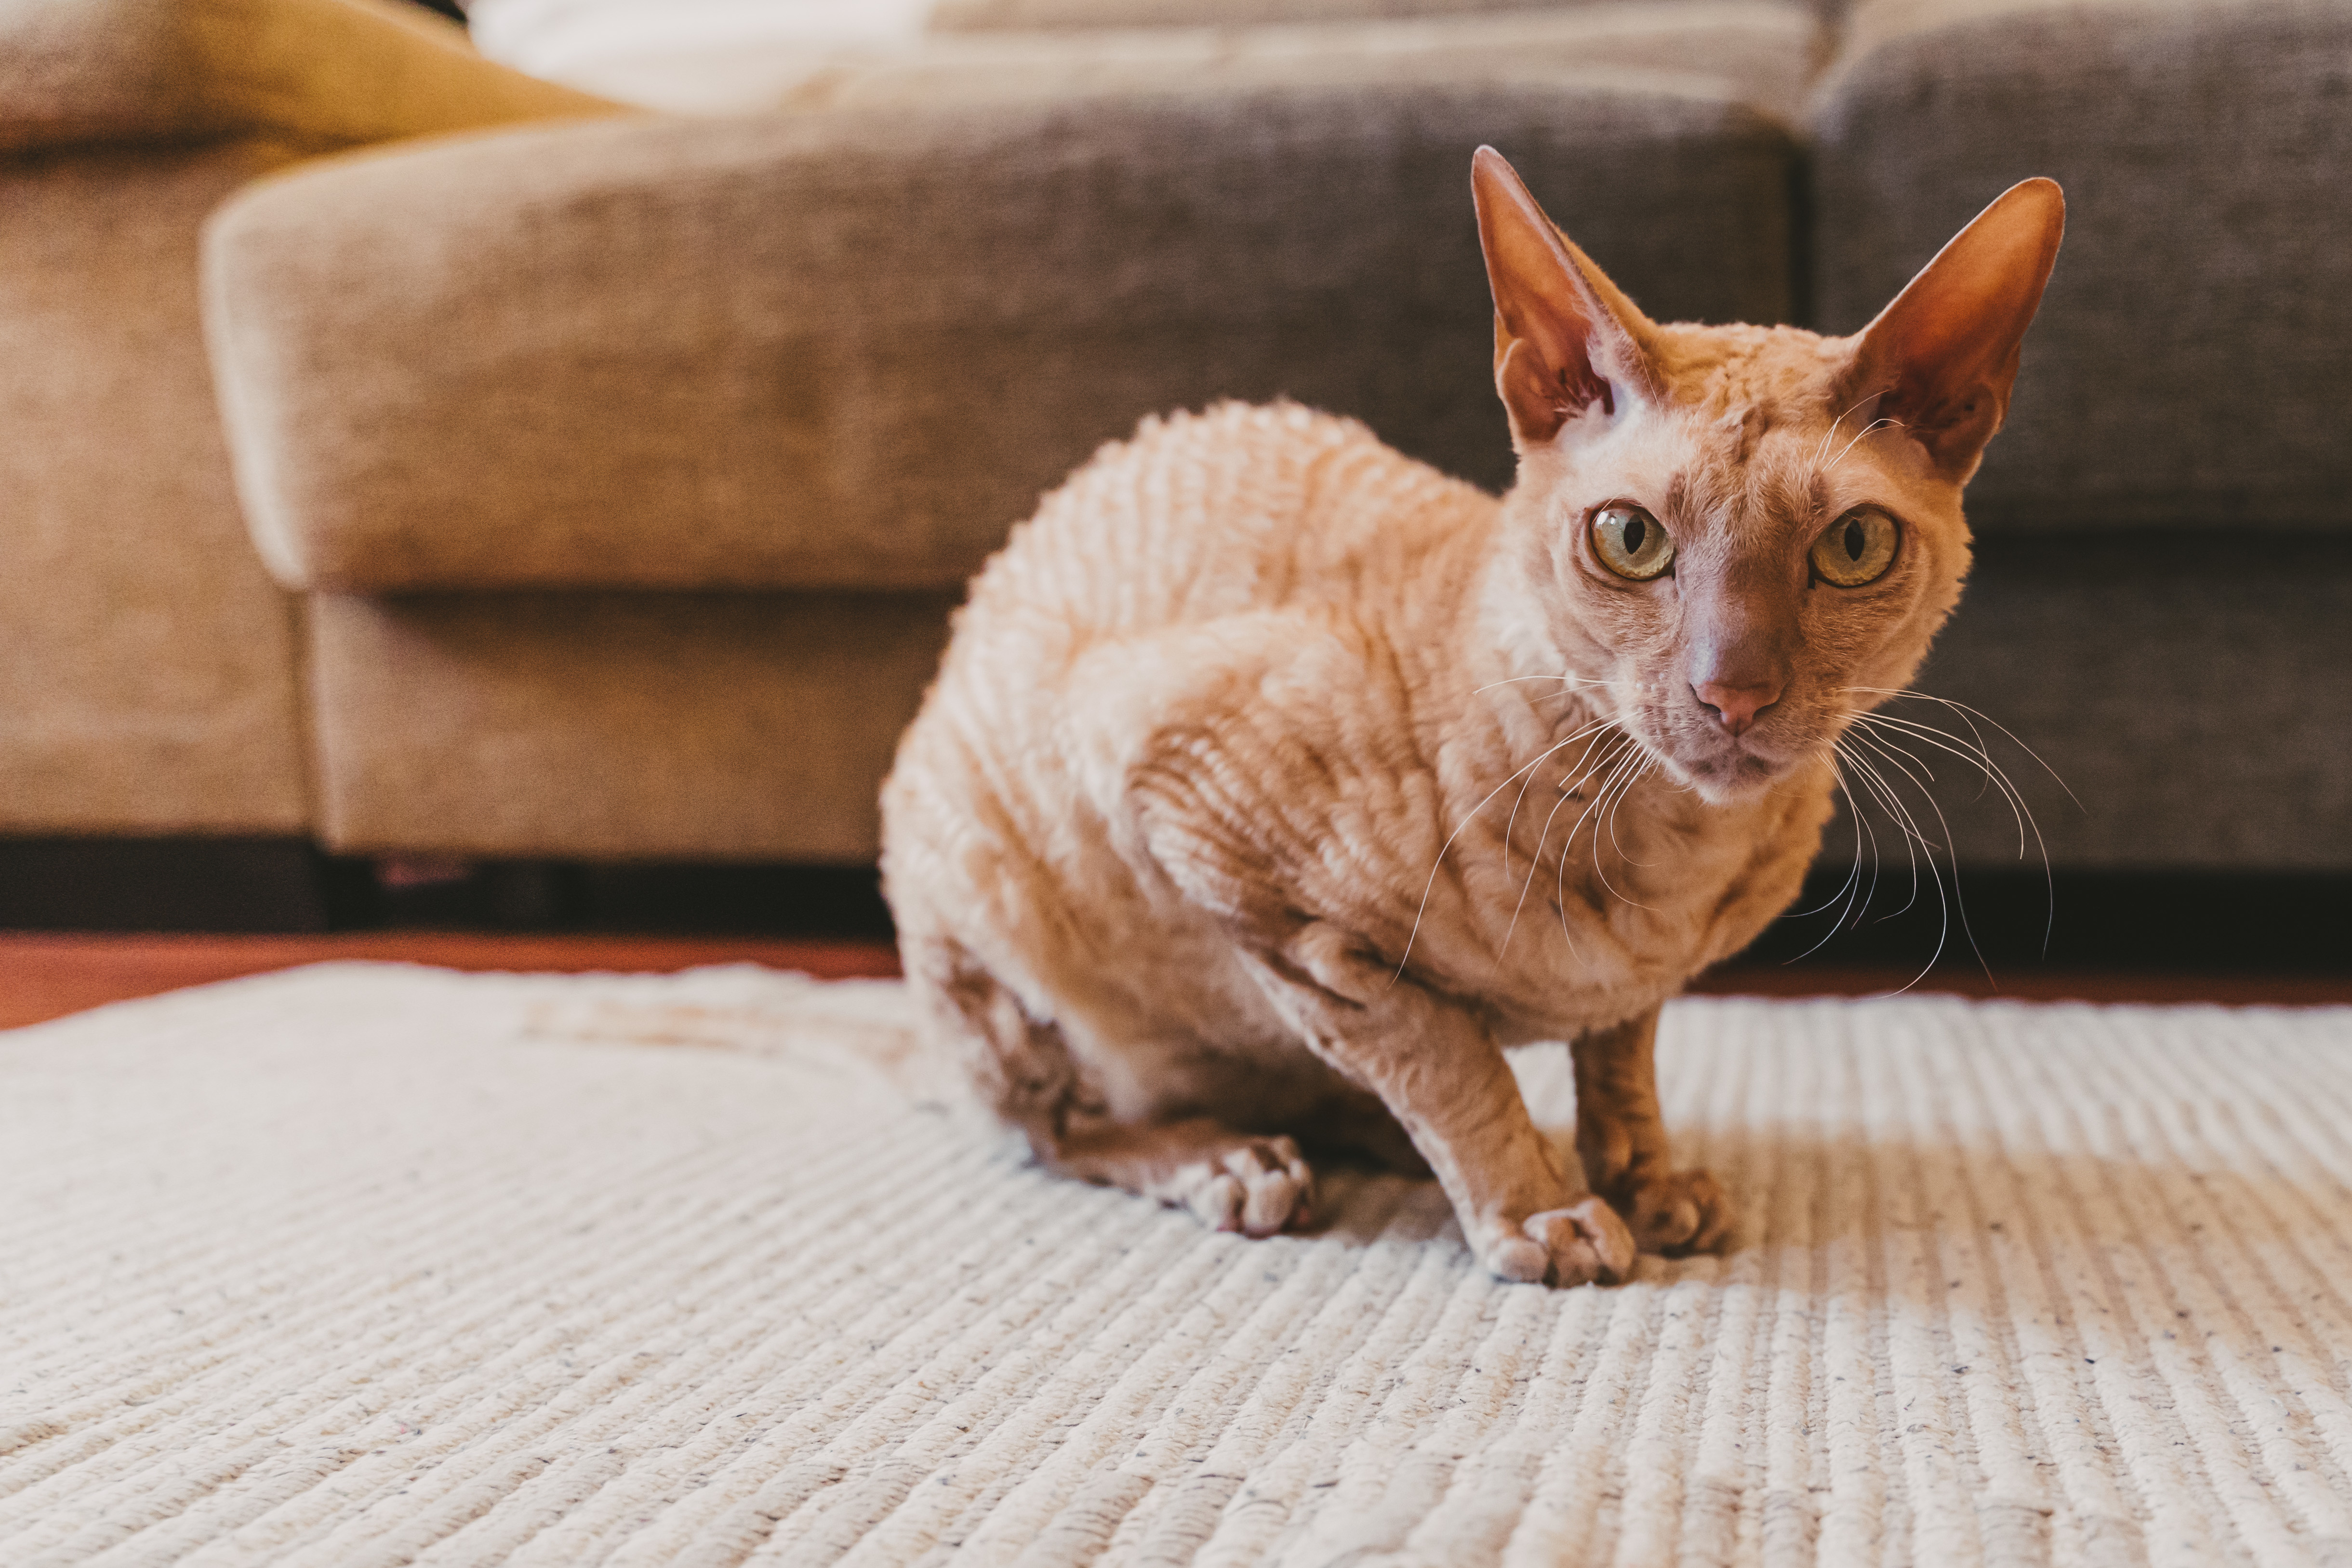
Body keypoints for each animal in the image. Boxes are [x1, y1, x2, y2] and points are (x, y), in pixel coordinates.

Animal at [884, 146, 2060, 1288]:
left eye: (1852, 545)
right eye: (1629, 538)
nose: (1732, 689)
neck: (1670, 855)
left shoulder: (1631, 985)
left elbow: (1618, 1053)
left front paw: (1640, 1178)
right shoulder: (1206, 828)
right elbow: (1441, 1052)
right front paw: (1535, 1206)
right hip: (982, 892)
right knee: (1061, 1128)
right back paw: (1230, 1159)